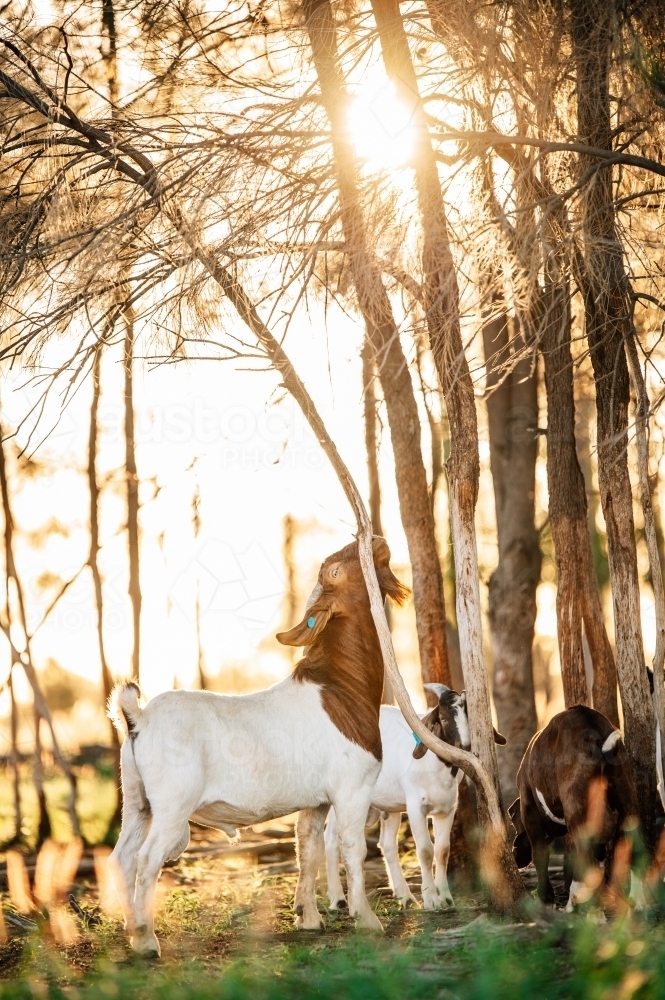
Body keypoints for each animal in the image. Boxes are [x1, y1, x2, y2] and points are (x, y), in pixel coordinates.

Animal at [107, 536, 408, 956]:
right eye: (335, 571)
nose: (375, 540)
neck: (340, 685)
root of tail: (139, 717)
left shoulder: (315, 800)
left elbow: (307, 848)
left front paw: (308, 918)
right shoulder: (353, 787)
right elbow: (353, 847)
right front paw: (366, 920)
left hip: (137, 799)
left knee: (122, 857)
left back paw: (131, 928)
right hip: (172, 804)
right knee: (148, 858)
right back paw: (146, 939)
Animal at [326, 684, 504, 912]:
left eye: (468, 715)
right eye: (443, 718)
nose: (464, 746)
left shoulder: (447, 809)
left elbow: (443, 851)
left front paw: (446, 897)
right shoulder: (415, 808)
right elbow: (426, 851)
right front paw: (431, 899)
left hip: (389, 805)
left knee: (387, 844)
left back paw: (405, 896)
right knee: (331, 840)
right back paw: (337, 900)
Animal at [506, 708, 640, 912]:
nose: (515, 856)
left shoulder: (528, 808)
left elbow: (541, 853)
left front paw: (546, 899)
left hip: (576, 804)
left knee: (587, 849)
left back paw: (581, 906)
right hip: (626, 796)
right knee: (631, 839)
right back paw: (637, 900)